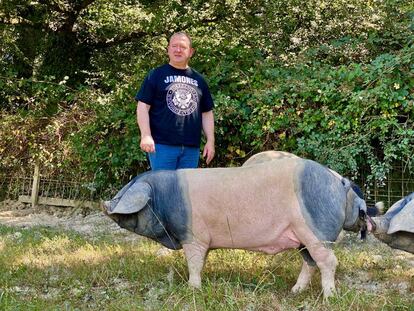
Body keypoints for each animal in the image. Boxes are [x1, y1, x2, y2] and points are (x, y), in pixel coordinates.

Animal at [103, 157, 368, 298]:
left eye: (125, 194)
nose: (105, 205)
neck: (164, 199)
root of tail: (340, 182)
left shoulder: (195, 237)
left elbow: (194, 264)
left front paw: (192, 289)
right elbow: (202, 262)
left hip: (316, 232)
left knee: (329, 261)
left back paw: (329, 297)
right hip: (303, 238)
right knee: (311, 262)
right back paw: (295, 291)